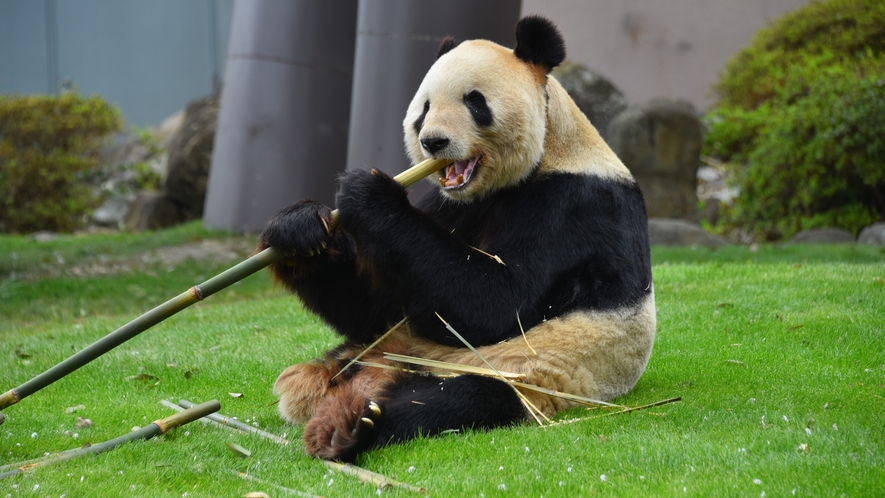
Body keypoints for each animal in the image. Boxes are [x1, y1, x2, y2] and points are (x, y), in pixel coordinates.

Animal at [258, 16, 652, 462]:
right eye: (424, 108)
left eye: (475, 102)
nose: (433, 142)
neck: (553, 149)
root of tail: (388, 370)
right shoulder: (451, 207)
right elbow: (379, 303)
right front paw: (299, 230)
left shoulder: (572, 205)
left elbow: (493, 305)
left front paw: (366, 192)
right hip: (383, 346)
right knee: (324, 372)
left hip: (522, 373)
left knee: (456, 398)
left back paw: (349, 427)